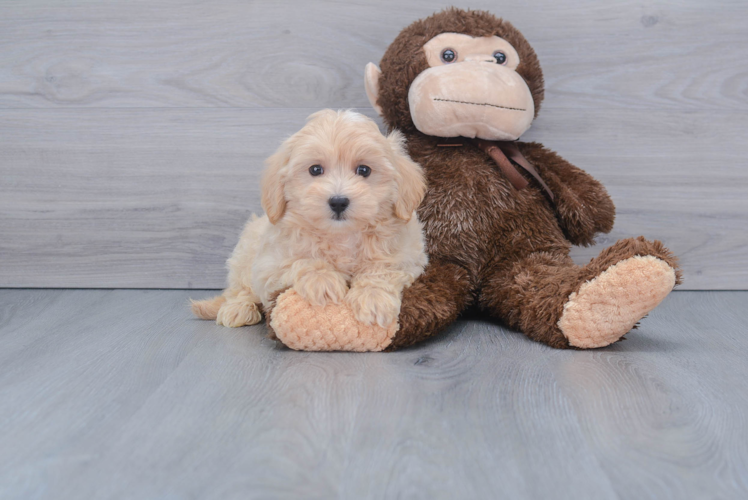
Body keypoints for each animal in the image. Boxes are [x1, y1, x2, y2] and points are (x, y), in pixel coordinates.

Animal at [190, 109, 430, 328]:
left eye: (364, 170)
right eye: (315, 169)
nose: (338, 201)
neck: (341, 235)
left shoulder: (409, 258)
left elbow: (383, 268)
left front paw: (373, 298)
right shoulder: (269, 264)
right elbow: (301, 261)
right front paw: (323, 280)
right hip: (244, 255)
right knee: (239, 289)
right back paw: (238, 309)